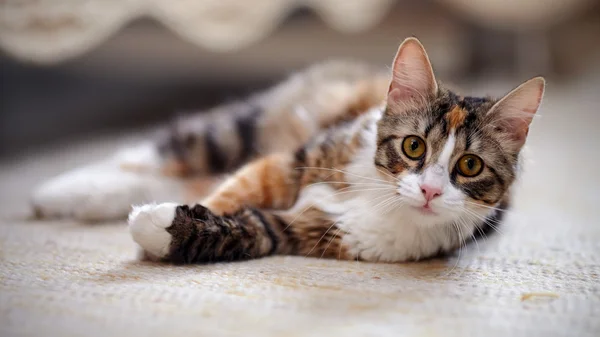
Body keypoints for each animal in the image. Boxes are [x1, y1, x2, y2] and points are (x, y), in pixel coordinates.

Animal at [30, 37, 544, 262]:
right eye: (414, 146)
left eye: (469, 165)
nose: (431, 191)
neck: (379, 196)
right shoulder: (295, 160)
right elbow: (235, 192)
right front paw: (194, 211)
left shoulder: (312, 231)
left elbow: (248, 229)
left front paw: (165, 228)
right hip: (237, 131)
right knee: (164, 151)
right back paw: (61, 191)